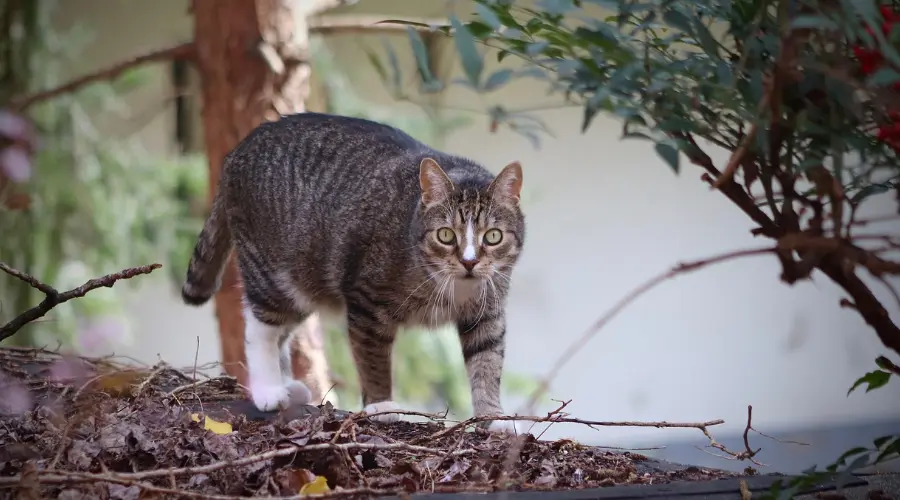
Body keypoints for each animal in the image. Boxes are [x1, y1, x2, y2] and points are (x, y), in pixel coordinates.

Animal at [179, 111, 524, 432]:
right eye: (446, 235)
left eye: (493, 236)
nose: (469, 262)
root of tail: (238, 150)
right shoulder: (366, 302)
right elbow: (373, 361)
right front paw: (381, 404)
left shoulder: (487, 313)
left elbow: (487, 363)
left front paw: (493, 416)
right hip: (271, 272)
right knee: (260, 329)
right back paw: (269, 389)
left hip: (302, 284)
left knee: (281, 331)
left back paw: (287, 385)